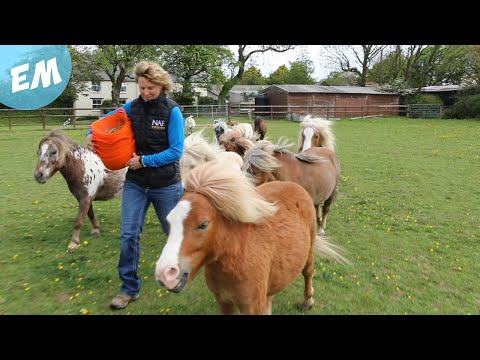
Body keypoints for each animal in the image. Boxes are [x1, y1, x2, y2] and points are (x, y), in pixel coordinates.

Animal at [154, 162, 344, 314]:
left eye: (203, 224)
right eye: (169, 220)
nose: (165, 274)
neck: (236, 256)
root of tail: (294, 186)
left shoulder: (251, 306)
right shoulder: (223, 302)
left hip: (309, 251)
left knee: (308, 272)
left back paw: (308, 301)